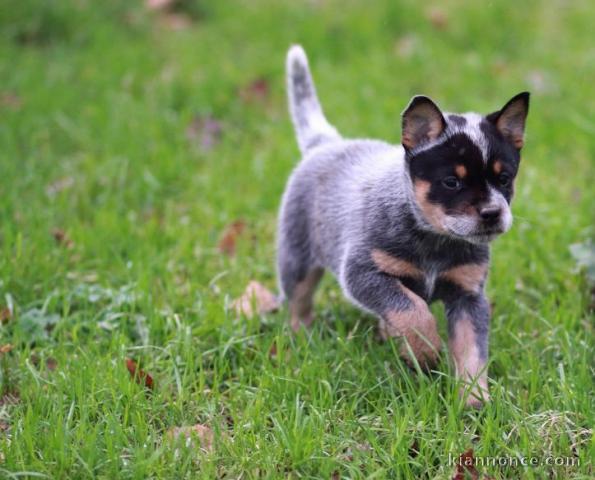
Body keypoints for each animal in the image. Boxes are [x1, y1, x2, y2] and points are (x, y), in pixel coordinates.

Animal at [278, 45, 532, 406]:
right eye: (452, 182)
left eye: (504, 178)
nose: (492, 213)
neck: (435, 241)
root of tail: (326, 143)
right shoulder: (363, 274)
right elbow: (413, 311)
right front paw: (426, 353)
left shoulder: (468, 296)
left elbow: (471, 350)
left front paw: (474, 400)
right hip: (296, 257)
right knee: (298, 301)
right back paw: (300, 338)